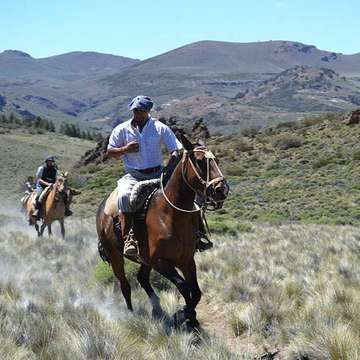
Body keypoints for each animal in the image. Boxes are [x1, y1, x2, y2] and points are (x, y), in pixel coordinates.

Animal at [96, 134, 228, 328]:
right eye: (199, 161)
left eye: (216, 160)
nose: (221, 190)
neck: (169, 215)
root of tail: (101, 208)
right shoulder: (160, 262)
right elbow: (184, 287)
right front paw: (182, 315)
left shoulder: (187, 260)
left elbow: (196, 292)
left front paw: (192, 319)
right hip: (115, 257)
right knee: (125, 285)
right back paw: (131, 315)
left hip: (144, 260)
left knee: (142, 278)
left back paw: (157, 309)